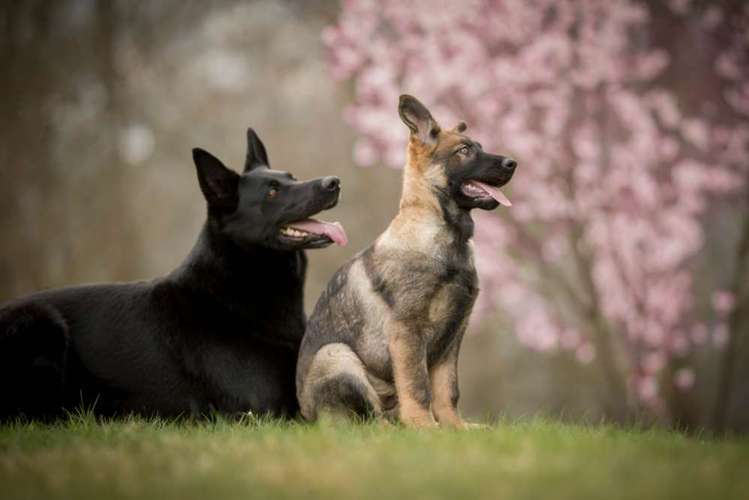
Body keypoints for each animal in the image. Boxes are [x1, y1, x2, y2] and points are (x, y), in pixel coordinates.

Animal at [296, 95, 516, 428]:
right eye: (464, 151)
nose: (513, 163)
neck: (445, 234)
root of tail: (306, 417)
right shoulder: (408, 330)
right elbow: (417, 383)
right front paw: (424, 426)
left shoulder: (454, 334)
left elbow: (447, 388)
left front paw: (455, 427)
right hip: (337, 355)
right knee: (365, 420)